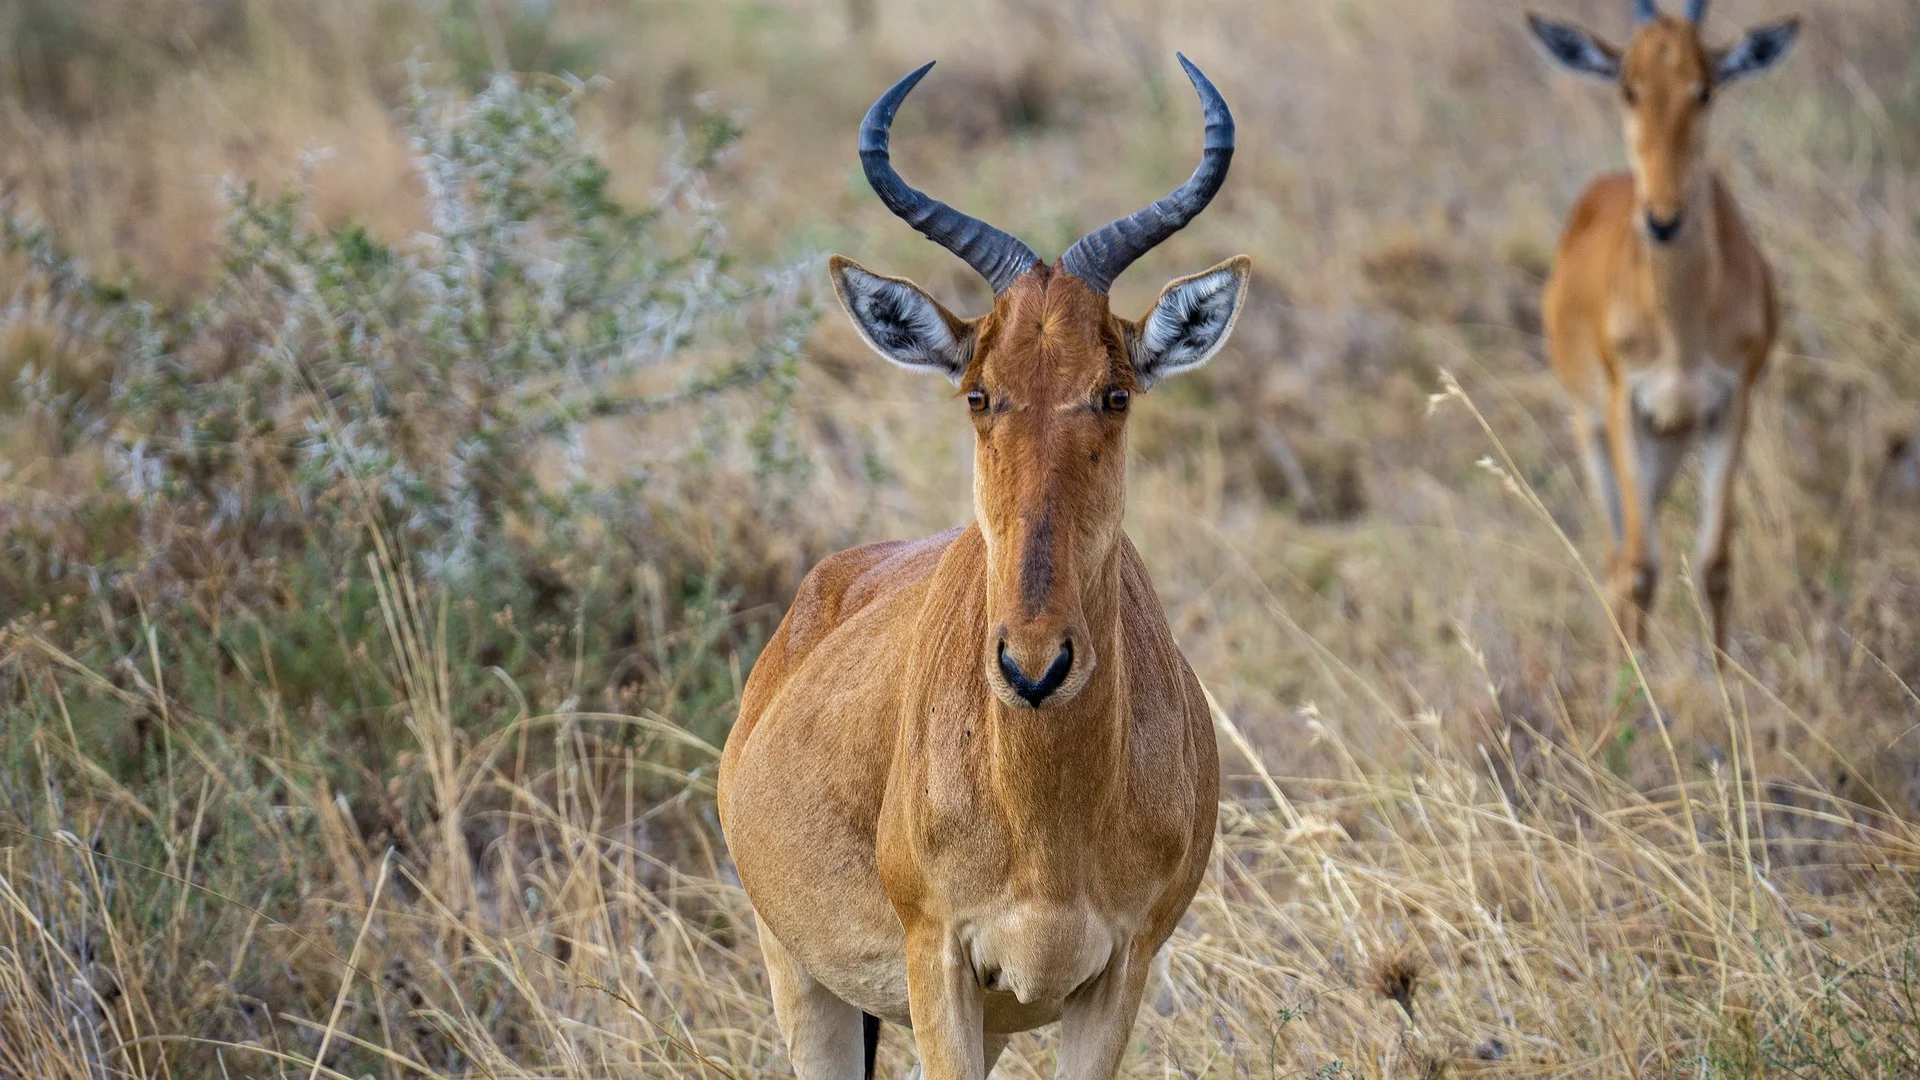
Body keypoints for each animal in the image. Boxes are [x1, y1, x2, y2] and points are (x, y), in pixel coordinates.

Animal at [721, 56, 1244, 1076]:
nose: (1034, 666)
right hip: (799, 974)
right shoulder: (938, 962)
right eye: (978, 392)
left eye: (1114, 391)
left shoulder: (1117, 974)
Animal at [1528, 0, 1797, 653]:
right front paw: (1634, 683)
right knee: (1615, 556)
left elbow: (1715, 566)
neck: (1682, 328)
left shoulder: (1730, 407)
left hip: (1671, 439)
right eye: (1629, 87)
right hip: (1596, 428)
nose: (1663, 220)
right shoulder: (1626, 407)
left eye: (1705, 88)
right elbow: (1640, 566)